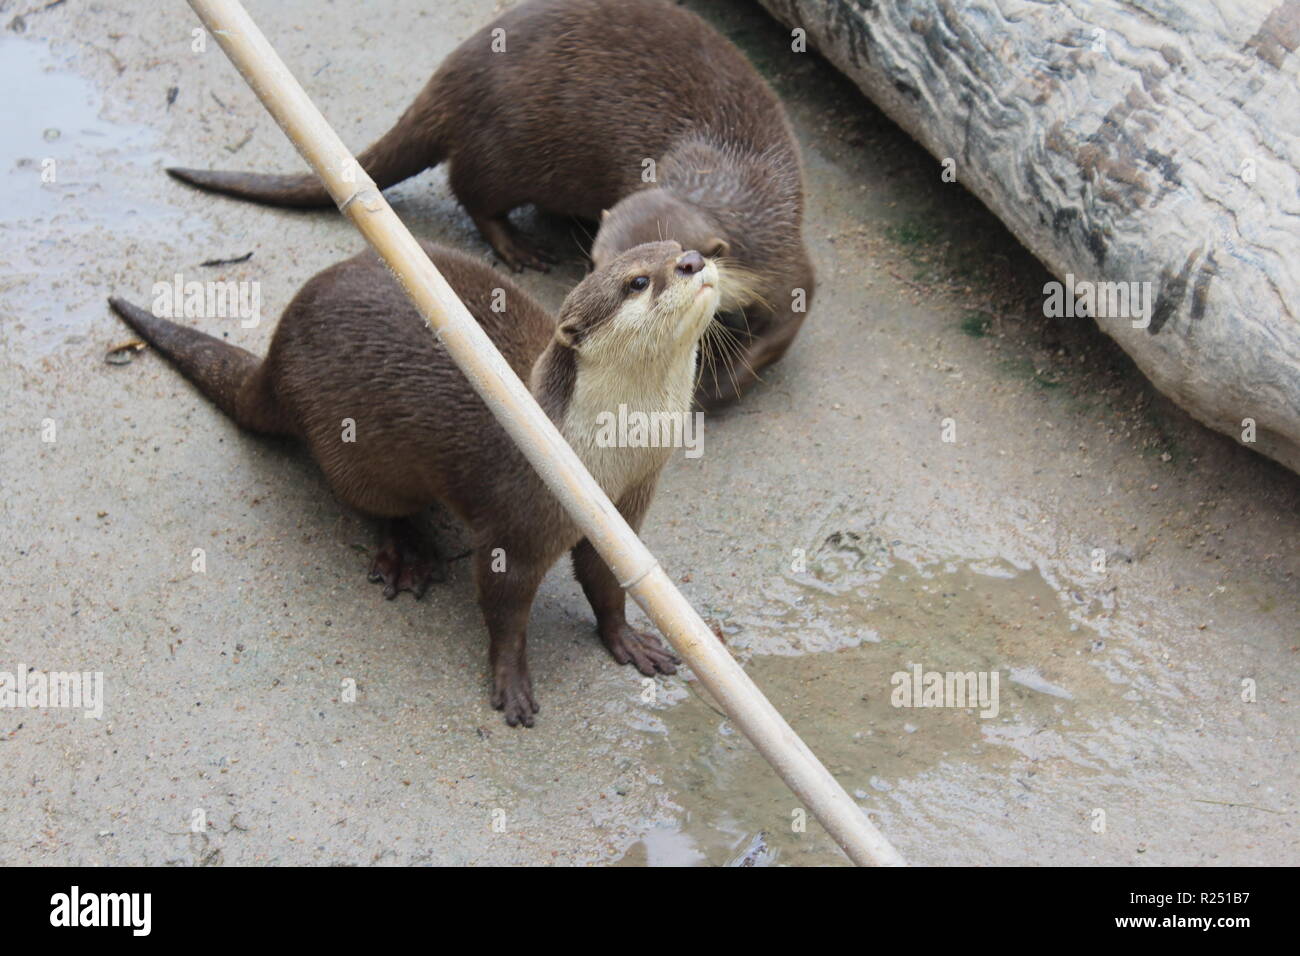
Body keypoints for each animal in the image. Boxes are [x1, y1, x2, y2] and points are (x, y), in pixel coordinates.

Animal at [109, 239, 719, 726]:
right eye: (638, 281)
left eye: (677, 245)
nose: (693, 260)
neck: (601, 456)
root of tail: (274, 356)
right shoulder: (519, 517)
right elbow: (504, 605)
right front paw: (511, 682)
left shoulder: (624, 509)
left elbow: (607, 583)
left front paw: (628, 639)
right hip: (350, 450)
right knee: (373, 504)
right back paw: (408, 554)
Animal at [166, 0, 812, 408]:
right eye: (595, 262)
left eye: (655, 274)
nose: (586, 300)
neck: (730, 174)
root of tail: (454, 75)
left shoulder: (783, 259)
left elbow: (781, 330)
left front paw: (714, 388)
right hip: (511, 148)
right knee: (471, 188)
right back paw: (515, 245)